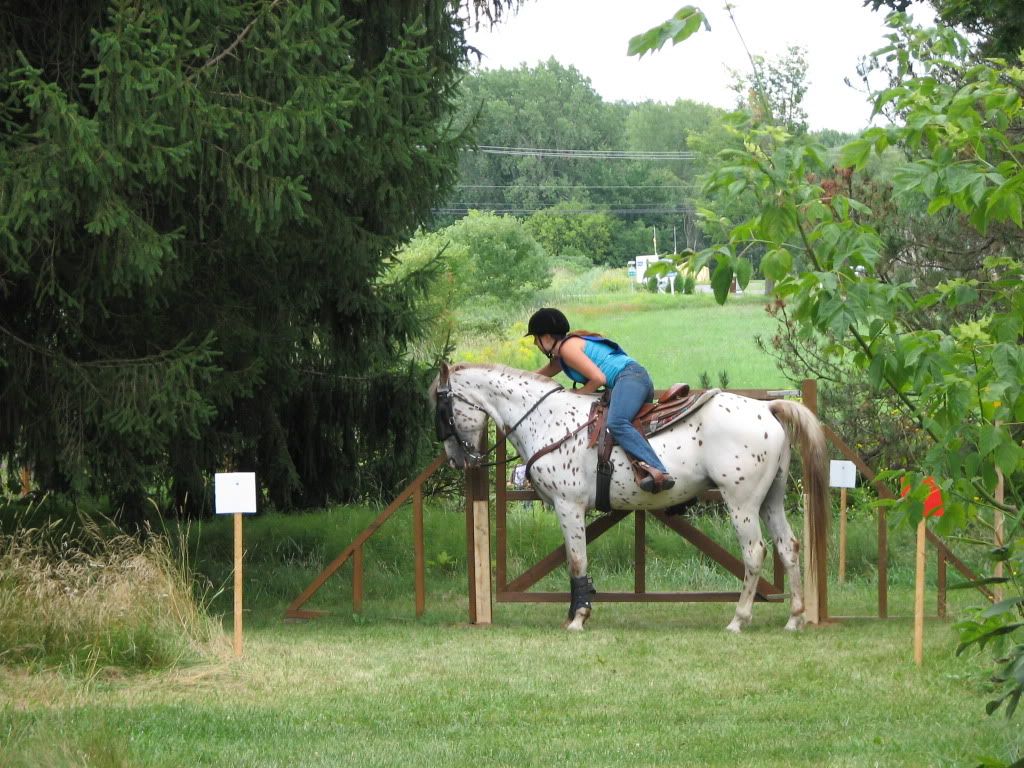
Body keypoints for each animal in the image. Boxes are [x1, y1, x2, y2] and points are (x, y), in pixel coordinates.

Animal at [428, 364, 827, 634]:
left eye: (442, 409)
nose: (456, 459)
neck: (546, 419)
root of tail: (767, 409)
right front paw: (576, 611)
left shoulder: (568, 505)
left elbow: (577, 560)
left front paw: (579, 617)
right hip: (770, 499)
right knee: (788, 546)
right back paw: (794, 618)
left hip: (741, 502)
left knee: (755, 552)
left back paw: (738, 620)